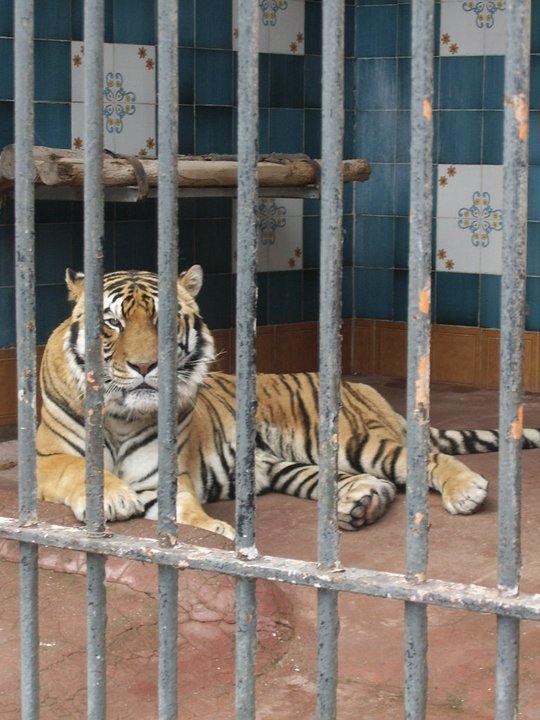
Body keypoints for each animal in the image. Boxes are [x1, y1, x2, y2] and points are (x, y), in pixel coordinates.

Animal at [36, 265, 540, 541]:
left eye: (164, 322)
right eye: (112, 324)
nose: (144, 366)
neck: (122, 415)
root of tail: (363, 389)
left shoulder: (166, 479)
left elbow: (192, 522)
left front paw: (219, 533)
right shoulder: (47, 460)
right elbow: (77, 469)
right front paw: (113, 496)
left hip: (350, 441)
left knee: (422, 459)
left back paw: (464, 491)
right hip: (284, 463)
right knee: (361, 482)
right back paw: (362, 503)